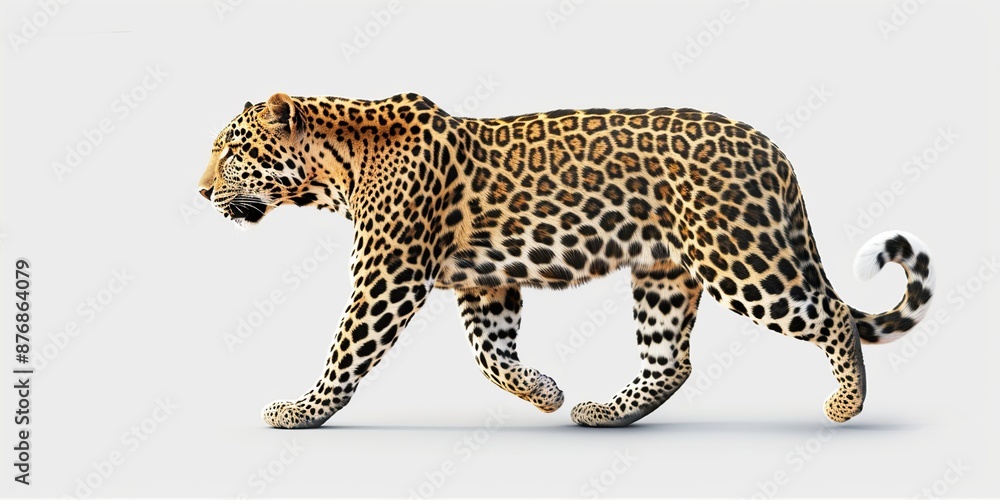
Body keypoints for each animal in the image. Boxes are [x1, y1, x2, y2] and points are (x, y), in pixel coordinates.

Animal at [197, 92, 935, 428]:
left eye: (230, 151)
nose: (201, 192)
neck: (335, 168)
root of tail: (772, 147)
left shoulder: (390, 275)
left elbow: (346, 348)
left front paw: (301, 410)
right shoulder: (485, 284)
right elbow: (490, 352)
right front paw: (543, 391)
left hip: (738, 257)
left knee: (832, 312)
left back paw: (846, 404)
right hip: (664, 272)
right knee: (671, 361)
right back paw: (604, 411)